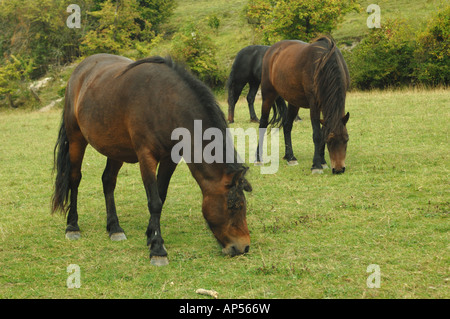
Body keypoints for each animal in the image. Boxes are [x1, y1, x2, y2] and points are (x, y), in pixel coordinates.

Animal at [51, 53, 253, 266]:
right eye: (234, 206)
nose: (243, 247)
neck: (164, 104)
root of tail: (80, 69)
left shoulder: (170, 159)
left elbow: (160, 197)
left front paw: (150, 235)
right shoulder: (146, 157)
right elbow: (154, 201)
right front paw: (157, 249)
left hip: (115, 148)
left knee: (108, 181)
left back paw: (114, 228)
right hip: (76, 139)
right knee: (74, 178)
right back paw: (72, 226)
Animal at [255, 37, 350, 175]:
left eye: (346, 140)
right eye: (330, 141)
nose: (338, 169)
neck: (325, 62)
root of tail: (271, 50)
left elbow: (323, 130)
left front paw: (322, 161)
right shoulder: (314, 104)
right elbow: (317, 135)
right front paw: (316, 165)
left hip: (293, 102)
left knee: (287, 126)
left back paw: (290, 157)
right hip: (268, 94)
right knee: (263, 123)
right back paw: (258, 158)